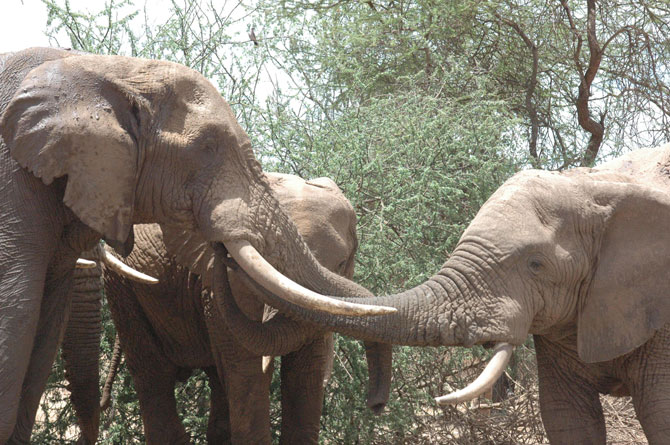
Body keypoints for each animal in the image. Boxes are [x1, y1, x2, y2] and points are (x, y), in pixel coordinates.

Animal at [63, 173, 394, 444]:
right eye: (266, 260)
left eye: (341, 263)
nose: (376, 404)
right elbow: (246, 371)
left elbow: (306, 373)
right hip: (123, 287)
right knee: (153, 374)